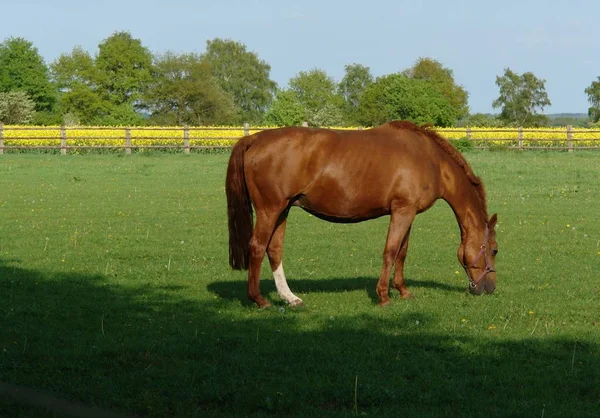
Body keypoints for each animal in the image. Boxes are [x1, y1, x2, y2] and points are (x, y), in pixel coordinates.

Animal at [225, 121, 496, 306]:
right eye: (494, 250)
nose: (490, 288)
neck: (431, 160)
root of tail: (254, 139)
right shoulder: (402, 211)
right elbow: (390, 252)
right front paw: (384, 296)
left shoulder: (409, 212)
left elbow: (402, 253)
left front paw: (403, 291)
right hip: (270, 210)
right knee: (257, 248)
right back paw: (260, 300)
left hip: (283, 210)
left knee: (274, 250)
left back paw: (290, 297)